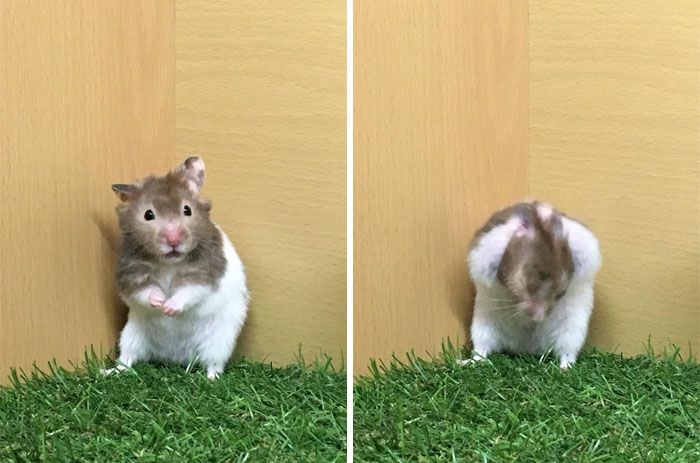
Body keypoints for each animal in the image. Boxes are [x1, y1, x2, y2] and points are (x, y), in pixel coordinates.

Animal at [102, 156, 249, 380]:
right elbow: (146, 291)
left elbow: (189, 291)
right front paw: (160, 303)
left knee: (213, 363)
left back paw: (210, 379)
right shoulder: (131, 274)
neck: (169, 262)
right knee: (127, 359)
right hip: (130, 335)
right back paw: (106, 372)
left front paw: (169, 308)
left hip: (219, 341)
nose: (173, 240)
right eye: (148, 214)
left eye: (187, 210)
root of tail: (174, 356)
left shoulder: (205, 273)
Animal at [458, 201, 601, 370]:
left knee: (567, 352)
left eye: (561, 292)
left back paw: (565, 368)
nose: (538, 318)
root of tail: (528, 347)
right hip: (483, 325)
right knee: (481, 351)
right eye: (526, 286)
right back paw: (463, 362)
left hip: (572, 328)